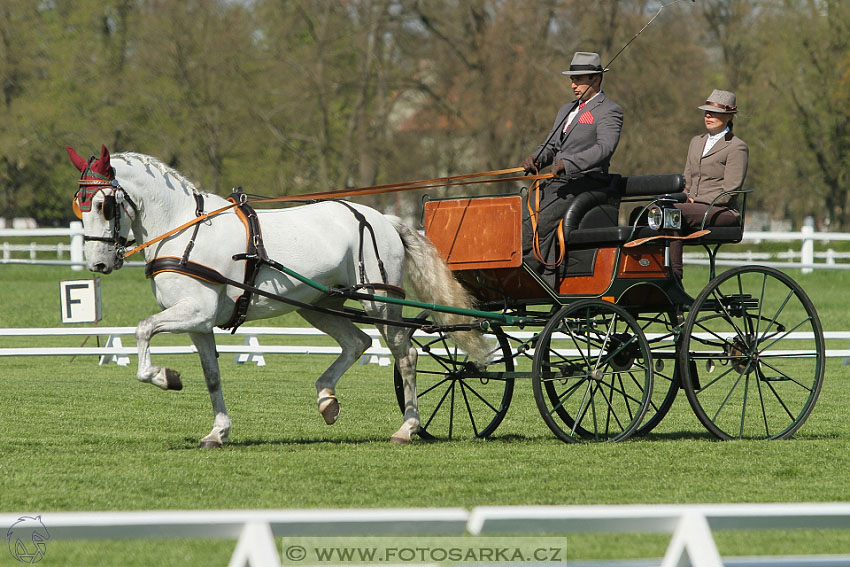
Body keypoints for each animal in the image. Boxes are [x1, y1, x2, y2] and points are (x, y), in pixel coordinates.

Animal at [66, 145, 490, 448]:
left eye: (104, 204)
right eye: (79, 206)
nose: (98, 263)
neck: (183, 229)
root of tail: (383, 217)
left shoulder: (195, 312)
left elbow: (142, 330)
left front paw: (164, 377)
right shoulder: (200, 324)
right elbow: (212, 376)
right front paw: (218, 432)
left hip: (381, 300)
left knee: (406, 356)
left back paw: (408, 427)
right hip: (320, 304)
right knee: (357, 342)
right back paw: (327, 400)